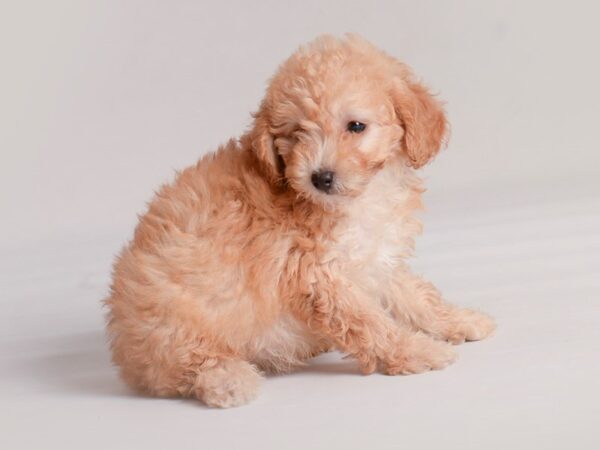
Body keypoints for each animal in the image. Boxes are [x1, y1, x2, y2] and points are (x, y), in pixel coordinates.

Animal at [105, 35, 494, 408]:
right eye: (295, 134)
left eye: (356, 126)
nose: (319, 177)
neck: (362, 198)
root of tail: (124, 348)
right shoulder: (316, 274)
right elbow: (370, 323)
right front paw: (418, 350)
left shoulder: (373, 261)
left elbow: (417, 296)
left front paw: (459, 321)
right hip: (172, 318)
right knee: (190, 362)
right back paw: (229, 380)